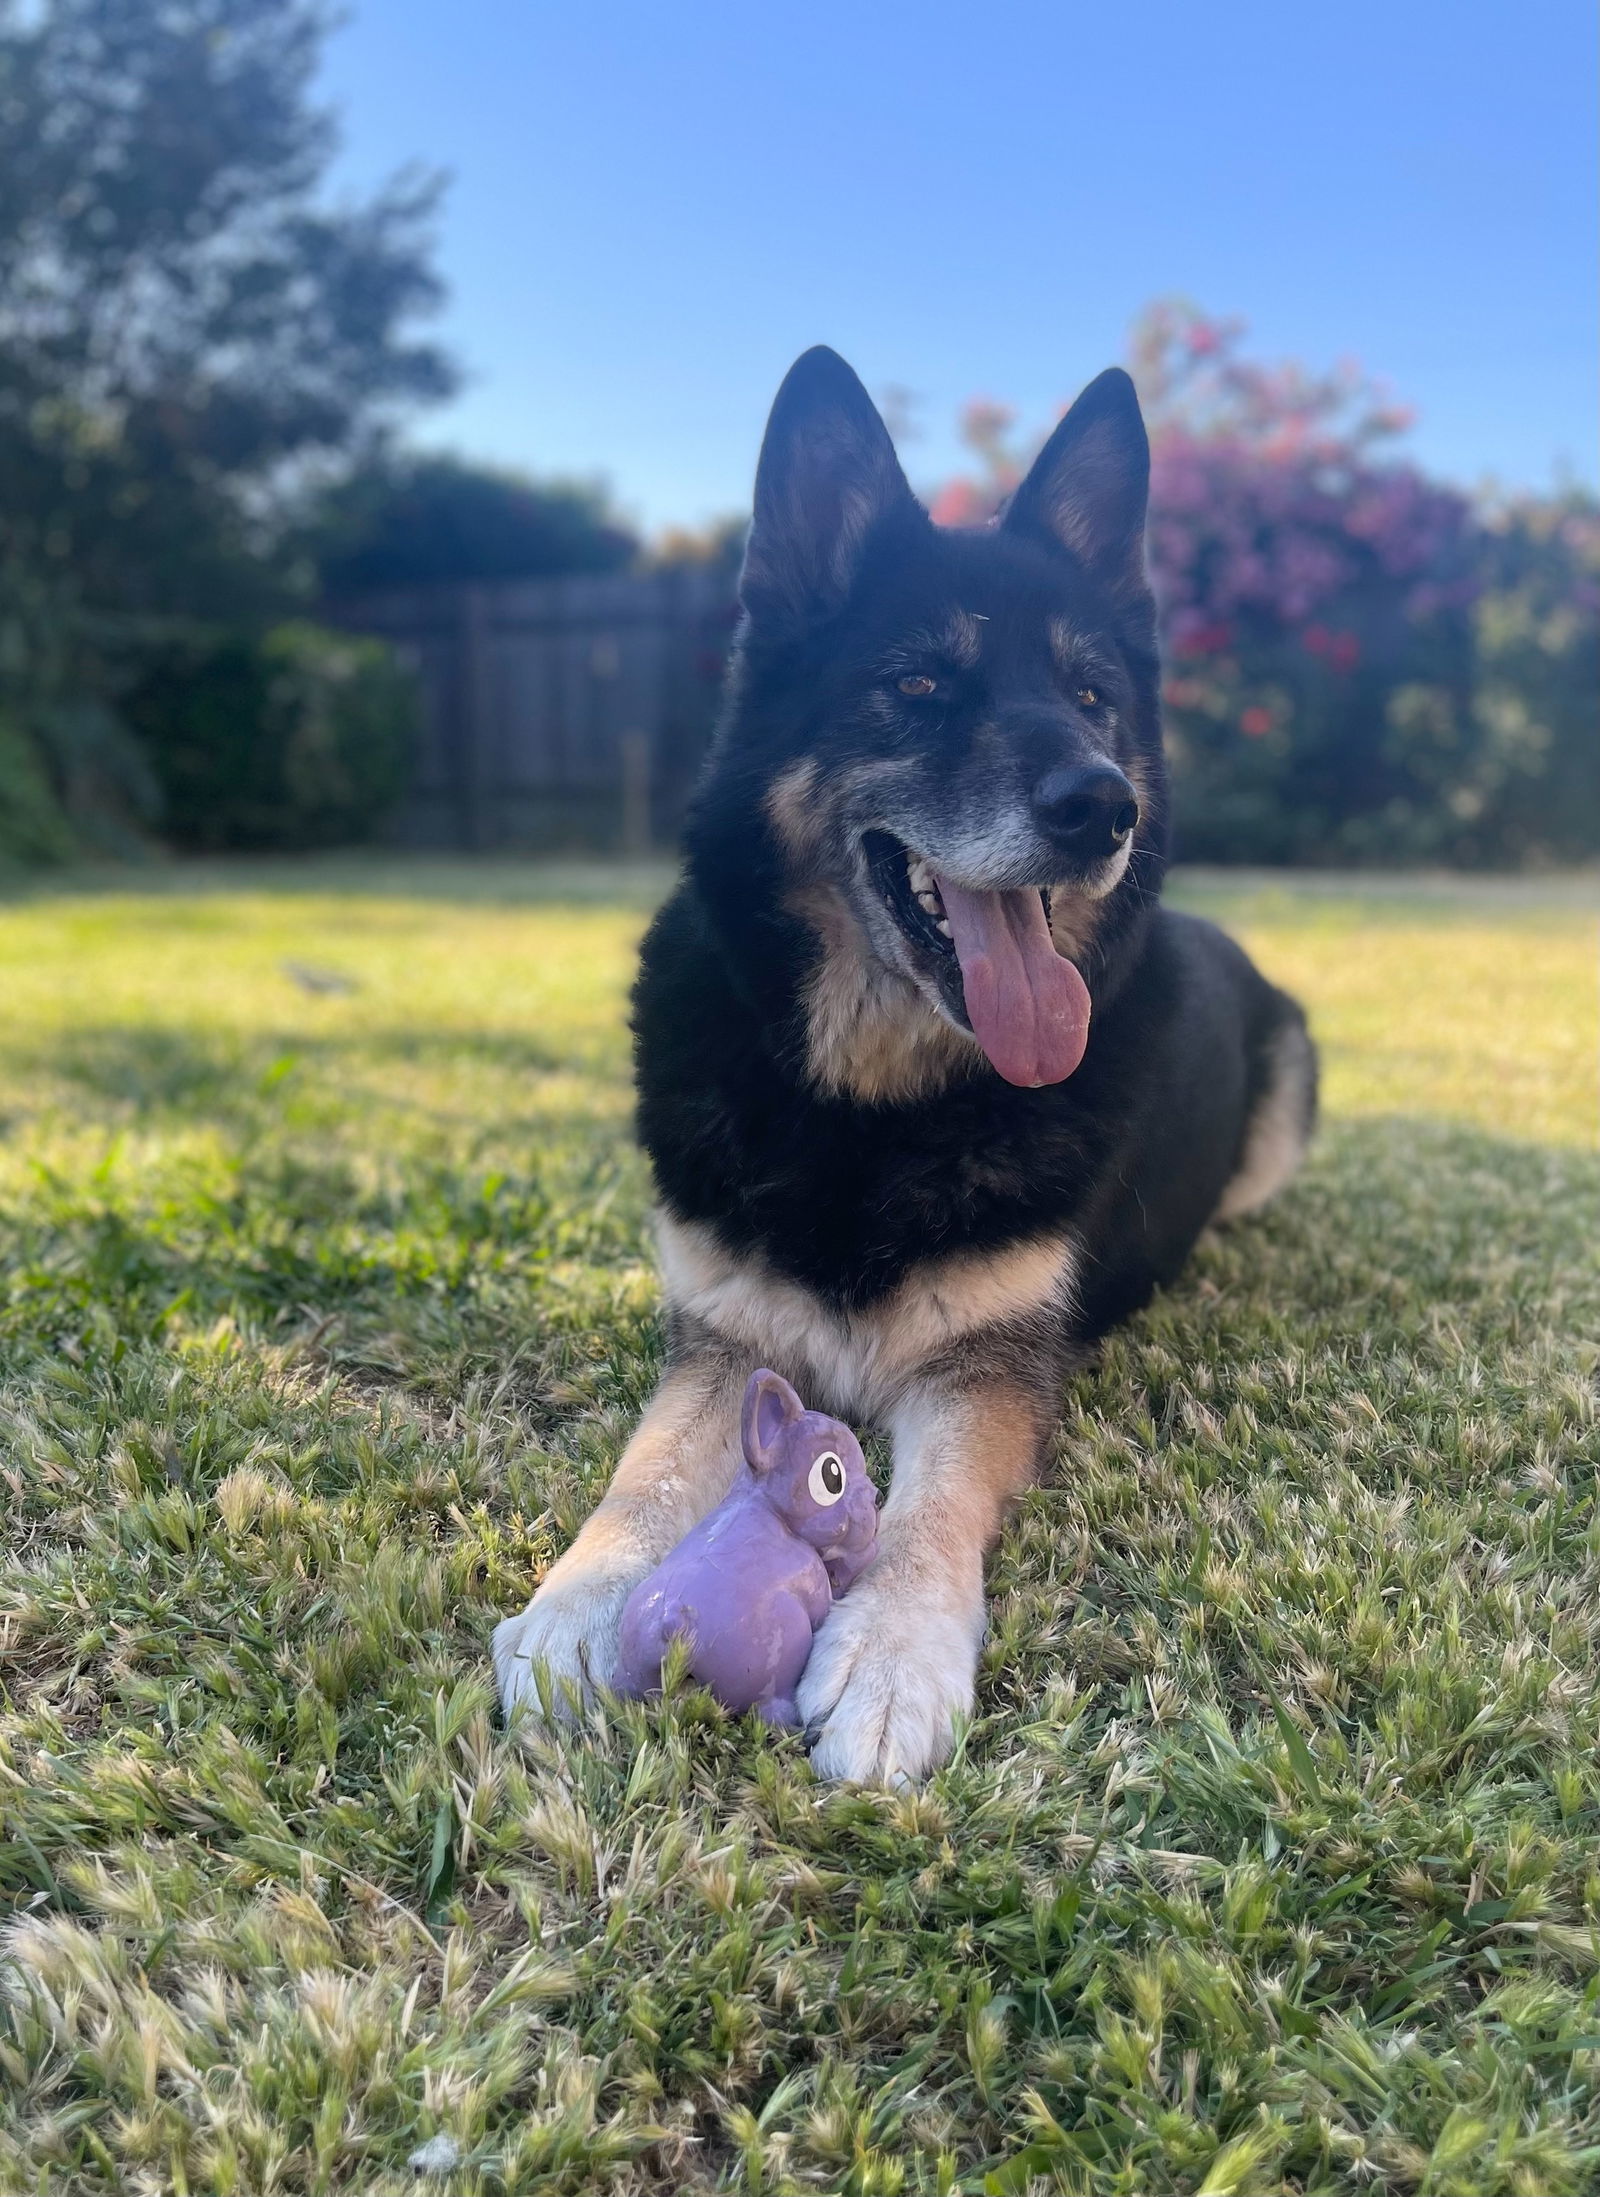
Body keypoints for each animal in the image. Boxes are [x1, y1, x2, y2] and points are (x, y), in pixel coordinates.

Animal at [494, 347, 1318, 1783]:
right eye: (922, 685)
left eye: (1091, 695)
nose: (1104, 807)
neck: (867, 1107)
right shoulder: (722, 1339)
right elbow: (641, 1477)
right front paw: (577, 1602)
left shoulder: (986, 1372)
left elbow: (934, 1507)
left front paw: (890, 1653)